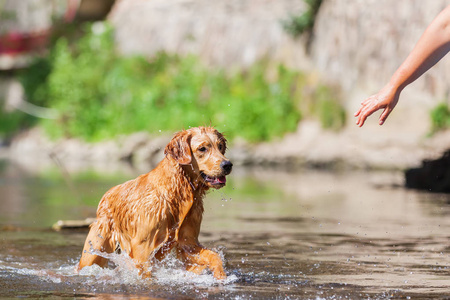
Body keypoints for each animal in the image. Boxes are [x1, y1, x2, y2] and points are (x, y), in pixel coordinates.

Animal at [77, 126, 232, 278]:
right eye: (202, 149)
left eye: (220, 146)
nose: (228, 165)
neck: (177, 192)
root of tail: (106, 194)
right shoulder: (142, 247)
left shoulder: (188, 242)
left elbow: (214, 256)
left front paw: (220, 276)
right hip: (95, 247)